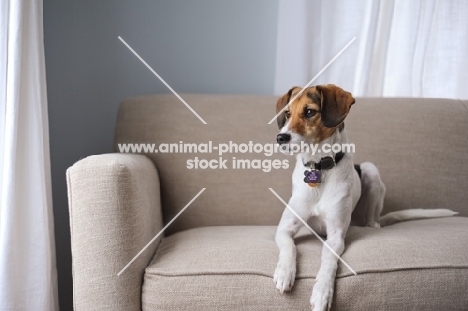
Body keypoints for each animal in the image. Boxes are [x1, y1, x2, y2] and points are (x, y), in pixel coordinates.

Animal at [272, 84, 456, 311]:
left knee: (373, 217)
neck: (319, 168)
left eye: (309, 112)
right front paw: (284, 272)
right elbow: (289, 247)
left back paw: (372, 225)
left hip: (371, 170)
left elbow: (328, 262)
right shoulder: (285, 228)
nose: (280, 138)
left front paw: (322, 292)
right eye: (287, 113)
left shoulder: (336, 236)